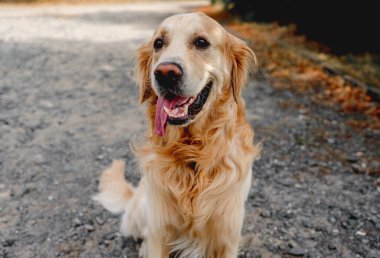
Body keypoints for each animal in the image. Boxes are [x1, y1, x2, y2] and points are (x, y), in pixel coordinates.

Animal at [94, 12, 260, 258]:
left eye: (201, 42)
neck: (192, 152)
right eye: (158, 43)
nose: (165, 73)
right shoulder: (160, 230)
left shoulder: (227, 236)